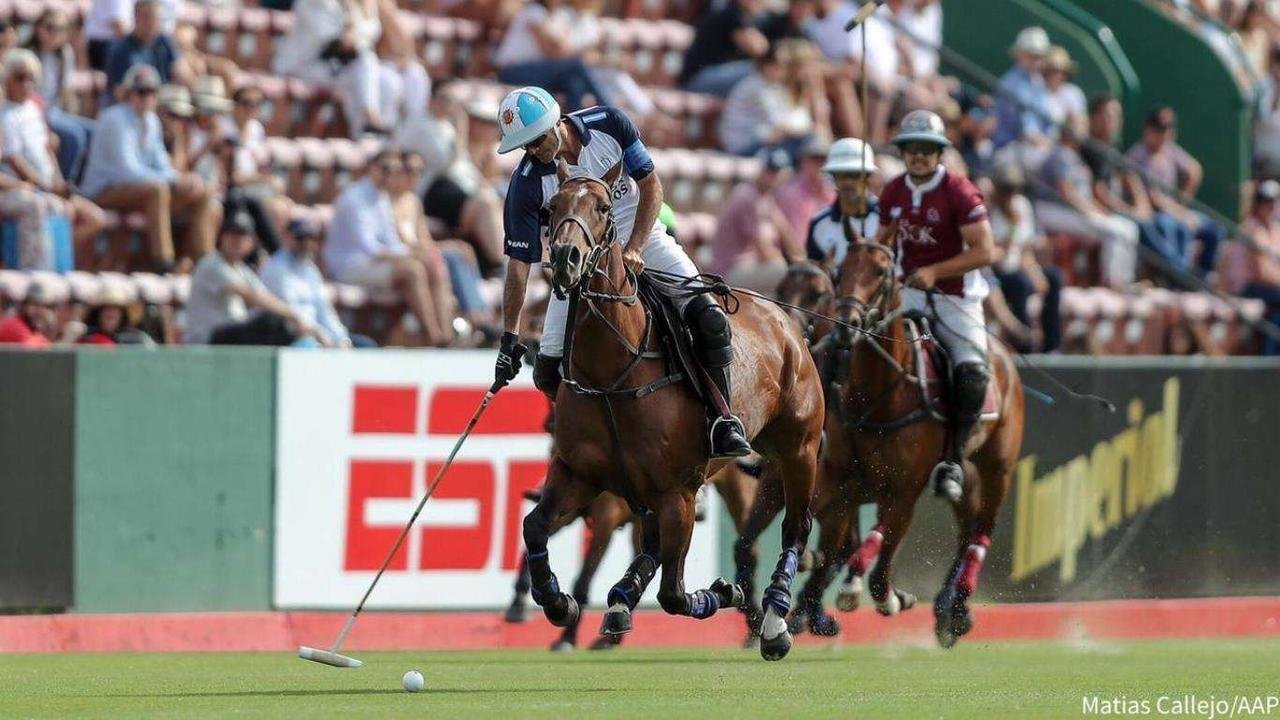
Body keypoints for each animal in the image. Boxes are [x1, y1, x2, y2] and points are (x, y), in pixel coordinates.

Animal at [524, 170, 824, 661]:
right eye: (549, 209)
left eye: (603, 208)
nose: (567, 259)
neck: (612, 375)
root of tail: (784, 318)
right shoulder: (579, 474)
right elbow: (534, 527)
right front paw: (558, 603)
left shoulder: (677, 492)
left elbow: (674, 594)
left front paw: (726, 591)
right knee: (652, 544)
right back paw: (621, 600)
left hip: (799, 450)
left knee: (794, 530)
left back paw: (774, 623)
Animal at [829, 222, 1029, 645]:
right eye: (838, 271)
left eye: (880, 271)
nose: (845, 326)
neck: (878, 395)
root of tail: (1002, 353)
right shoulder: (840, 478)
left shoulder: (904, 487)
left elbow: (880, 548)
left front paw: (862, 588)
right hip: (965, 471)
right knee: (966, 526)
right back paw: (948, 611)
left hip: (998, 465)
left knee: (982, 528)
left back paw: (960, 605)